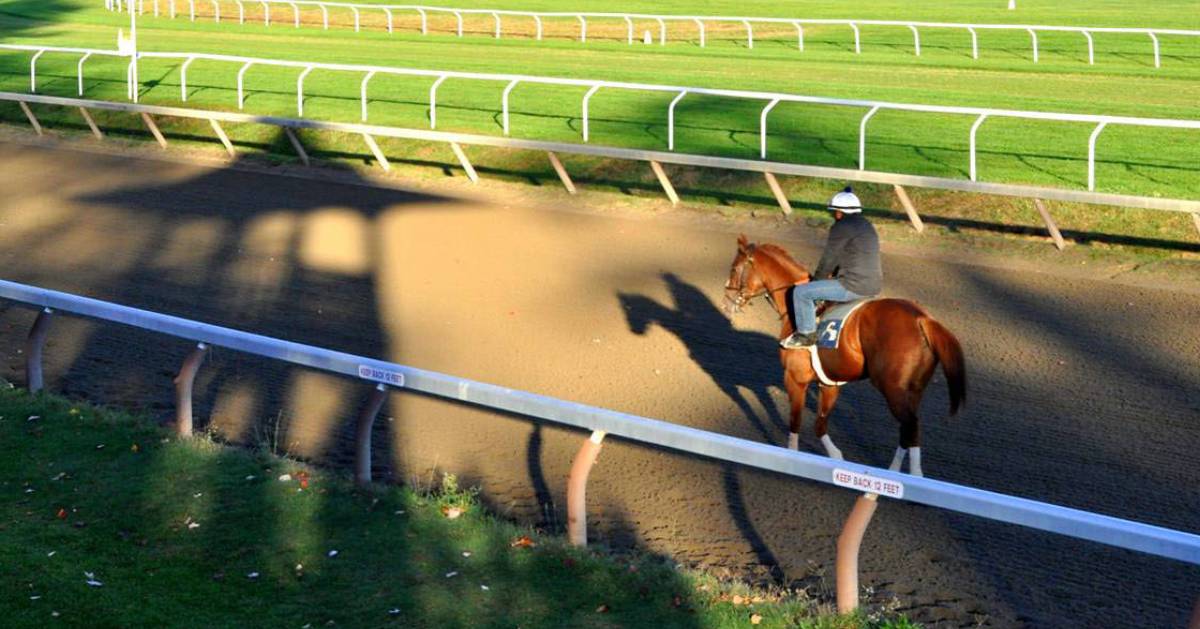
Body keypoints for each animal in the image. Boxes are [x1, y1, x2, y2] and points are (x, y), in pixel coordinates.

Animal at [720, 235, 964, 477]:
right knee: (908, 431)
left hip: (893, 390)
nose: (726, 300)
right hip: (914, 391)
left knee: (910, 427)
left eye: (734, 268)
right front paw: (836, 457)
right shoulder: (829, 384)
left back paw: (912, 476)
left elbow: (795, 422)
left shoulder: (794, 379)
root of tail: (923, 319)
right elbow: (820, 425)